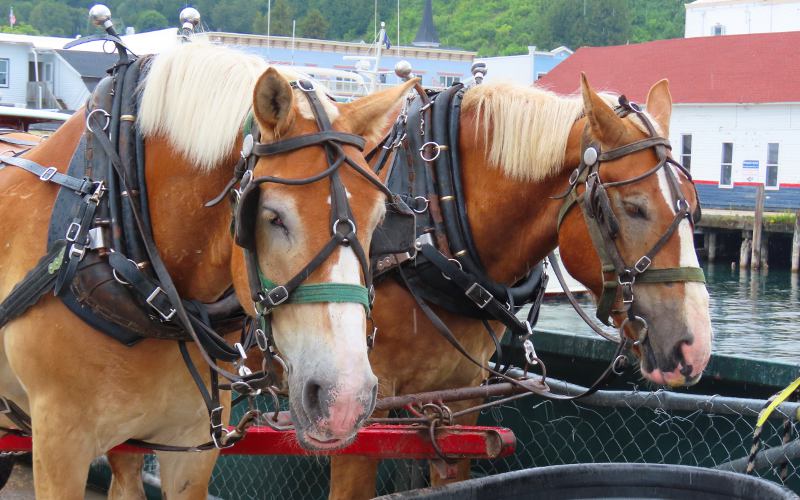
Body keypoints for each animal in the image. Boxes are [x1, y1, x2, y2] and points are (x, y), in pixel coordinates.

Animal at [328, 75, 716, 500]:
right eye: (633, 207)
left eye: (694, 206)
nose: (694, 347)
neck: (427, 222)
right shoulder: (359, 407)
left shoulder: (459, 397)